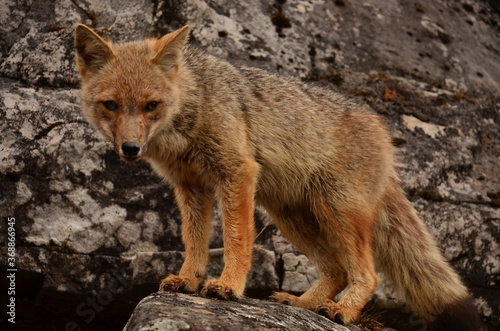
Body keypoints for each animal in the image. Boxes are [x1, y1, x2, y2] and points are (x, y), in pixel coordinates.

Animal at [73, 24, 480, 330]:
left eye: (151, 106)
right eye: (111, 105)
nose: (130, 149)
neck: (192, 108)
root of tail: (383, 131)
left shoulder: (236, 174)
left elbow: (236, 241)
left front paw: (228, 286)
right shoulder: (191, 188)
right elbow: (194, 243)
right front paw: (188, 281)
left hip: (335, 214)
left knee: (368, 276)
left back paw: (342, 311)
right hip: (292, 218)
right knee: (336, 271)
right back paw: (300, 304)